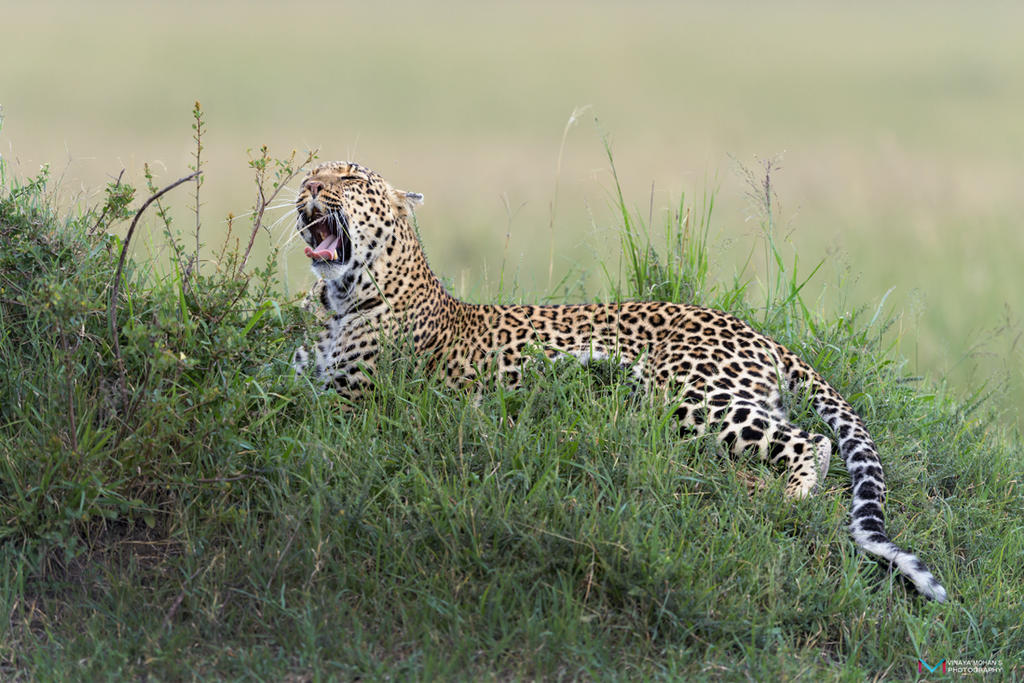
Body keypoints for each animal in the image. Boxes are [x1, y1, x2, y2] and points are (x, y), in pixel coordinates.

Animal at [292, 160, 946, 602]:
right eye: (313, 173)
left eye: (348, 177)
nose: (307, 187)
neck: (338, 297)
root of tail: (753, 328)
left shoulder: (350, 404)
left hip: (688, 395)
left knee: (813, 441)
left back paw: (788, 500)